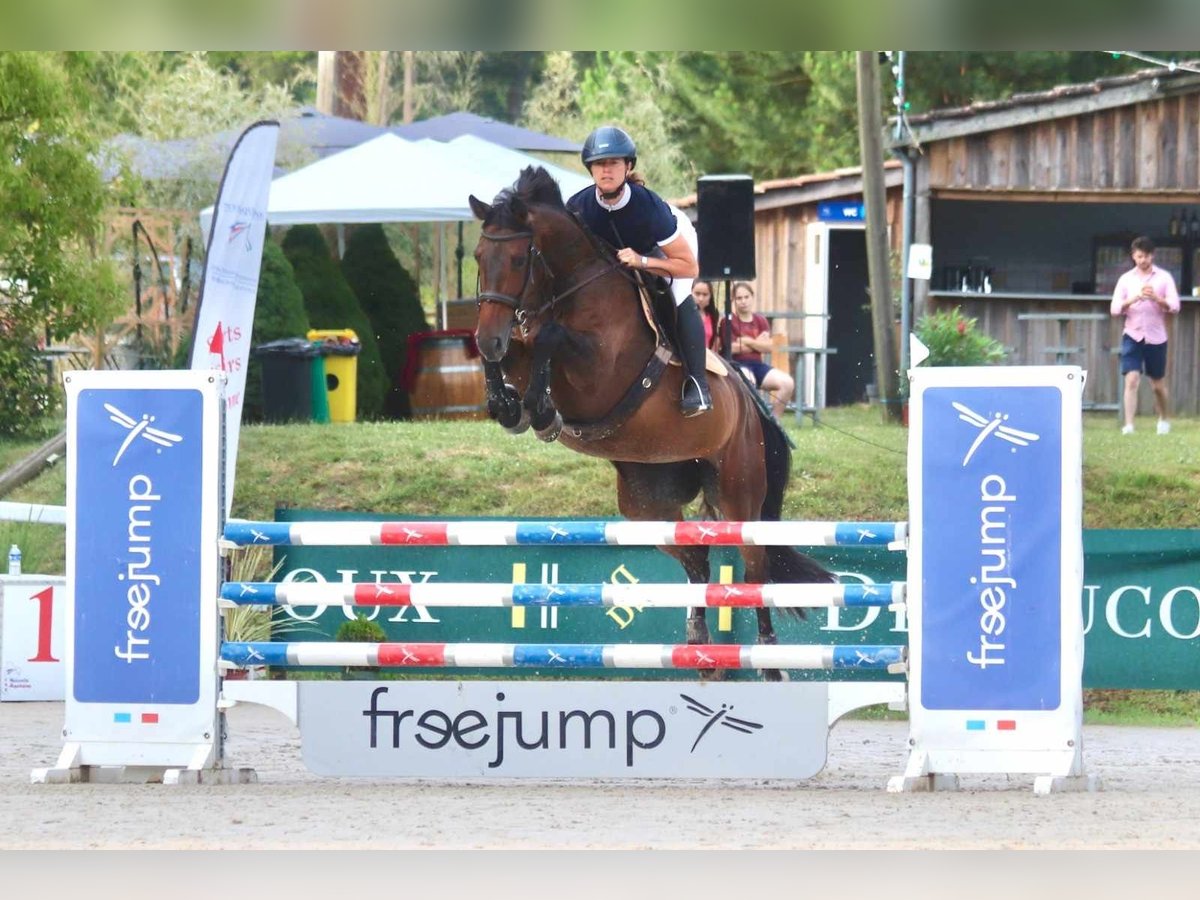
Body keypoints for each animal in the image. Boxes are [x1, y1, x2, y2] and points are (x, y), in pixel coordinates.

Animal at [468, 165, 835, 681]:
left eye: (521, 258)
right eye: (480, 256)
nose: (491, 336)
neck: (575, 288)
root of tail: (751, 404)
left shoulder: (598, 376)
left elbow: (550, 338)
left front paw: (539, 412)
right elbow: (517, 352)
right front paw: (505, 404)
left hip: (739, 489)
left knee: (754, 567)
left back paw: (767, 660)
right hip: (648, 503)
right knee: (698, 559)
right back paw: (702, 649)